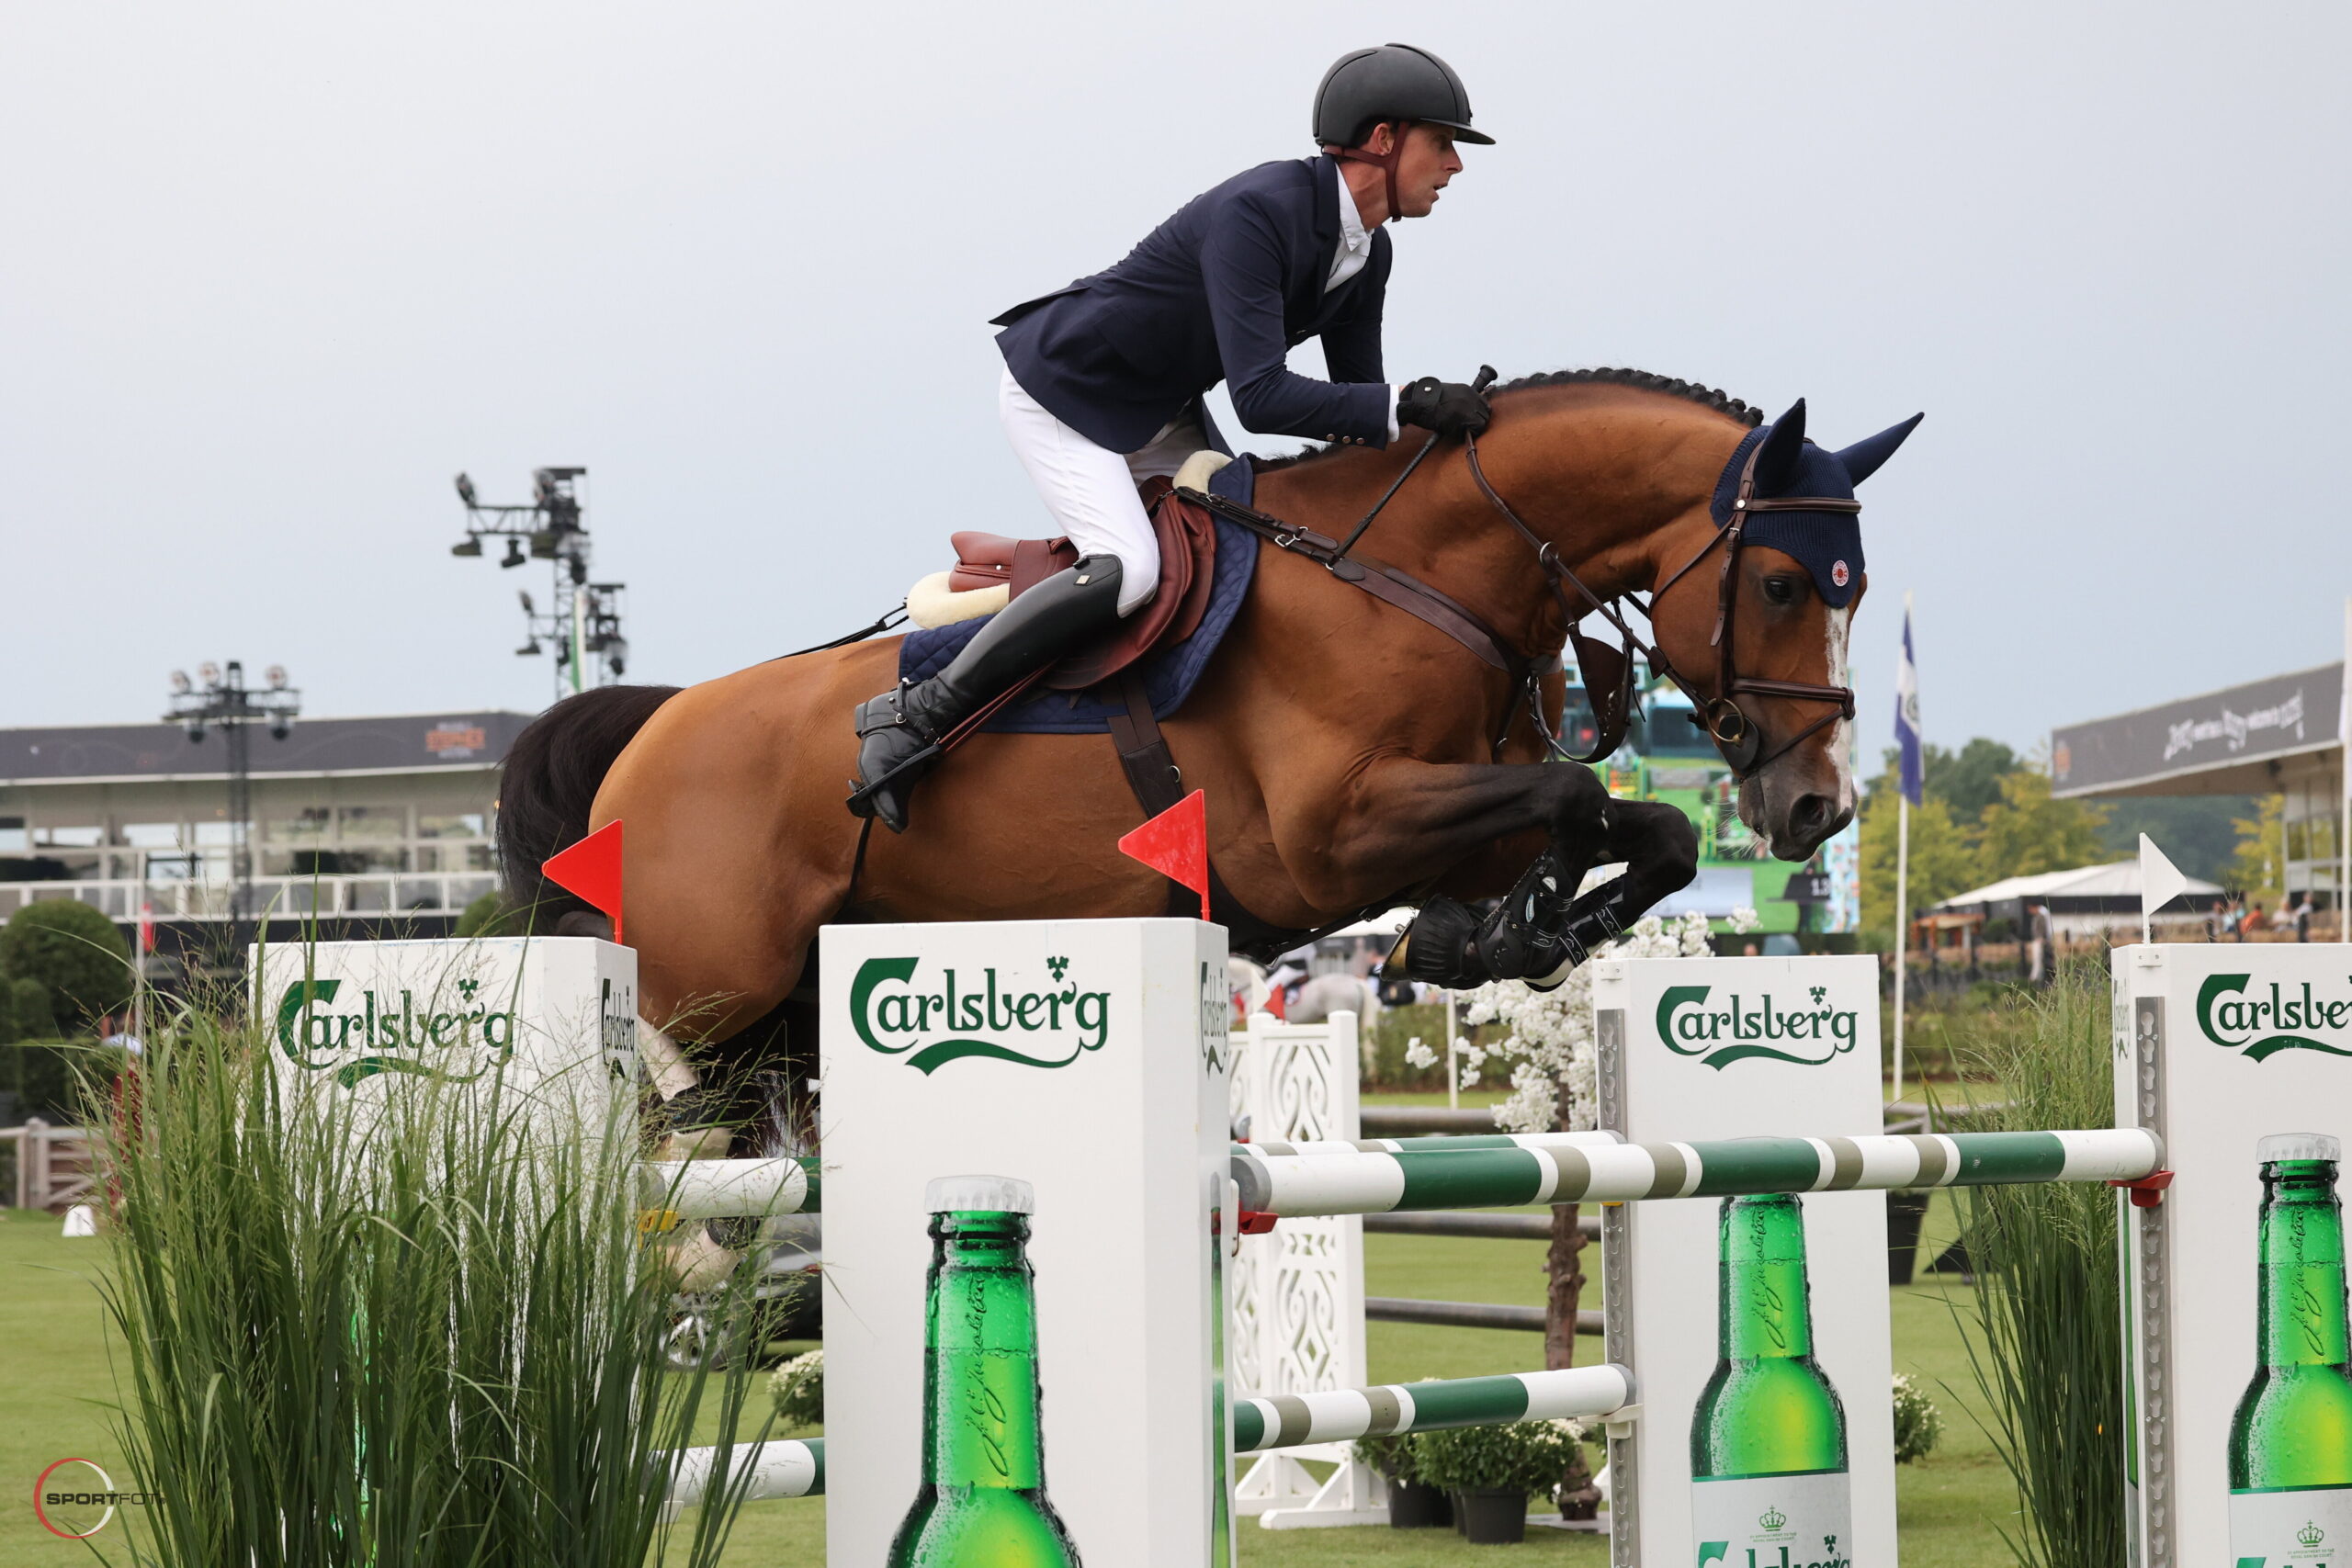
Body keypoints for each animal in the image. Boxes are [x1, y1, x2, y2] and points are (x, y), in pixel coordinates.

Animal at [492, 368, 1909, 1128]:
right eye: (1783, 582)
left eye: (1854, 586)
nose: (1817, 808)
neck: (1419, 577)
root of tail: (650, 729)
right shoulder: (1333, 838)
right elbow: (1571, 788)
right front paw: (1516, 929)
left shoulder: (1450, 815)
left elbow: (1636, 823)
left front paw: (1503, 934)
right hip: (717, 998)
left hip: (786, 1016)